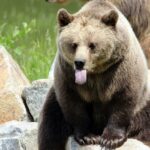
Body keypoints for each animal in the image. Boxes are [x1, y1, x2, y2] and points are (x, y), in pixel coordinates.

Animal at [38, 0, 150, 149]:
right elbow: (73, 105)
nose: (79, 62)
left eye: (92, 45)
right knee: (51, 126)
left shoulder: (120, 69)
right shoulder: (67, 76)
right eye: (74, 44)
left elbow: (124, 101)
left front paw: (111, 139)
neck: (96, 72)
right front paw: (88, 137)